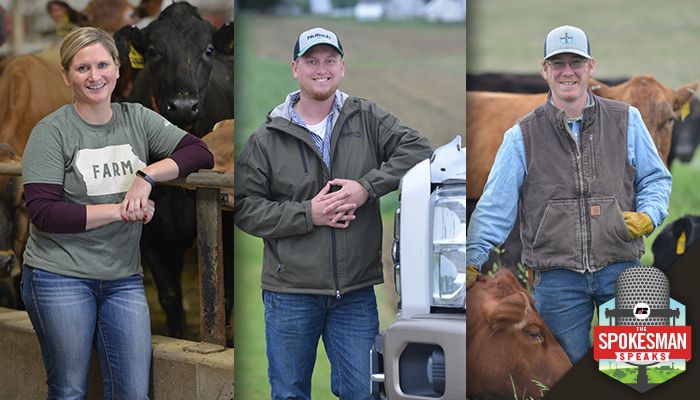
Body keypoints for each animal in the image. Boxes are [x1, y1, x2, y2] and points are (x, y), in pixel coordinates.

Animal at [115, 3, 234, 340]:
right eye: (153, 51)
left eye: (208, 50)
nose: (183, 105)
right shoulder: (151, 235)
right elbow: (169, 295)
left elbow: (225, 296)